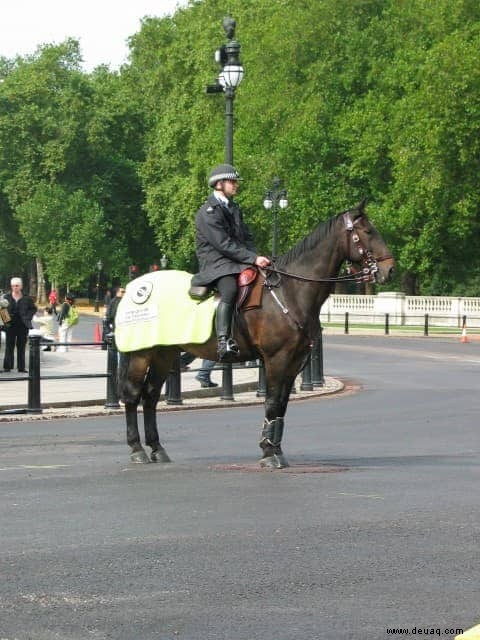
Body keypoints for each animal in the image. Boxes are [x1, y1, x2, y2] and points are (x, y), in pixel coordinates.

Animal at [117, 202, 394, 468]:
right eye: (368, 231)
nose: (390, 268)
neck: (291, 291)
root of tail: (133, 288)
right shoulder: (276, 359)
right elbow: (271, 402)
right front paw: (269, 452)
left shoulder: (294, 361)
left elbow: (281, 405)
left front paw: (275, 448)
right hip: (142, 354)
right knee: (133, 394)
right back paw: (137, 448)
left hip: (164, 354)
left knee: (151, 395)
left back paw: (156, 448)